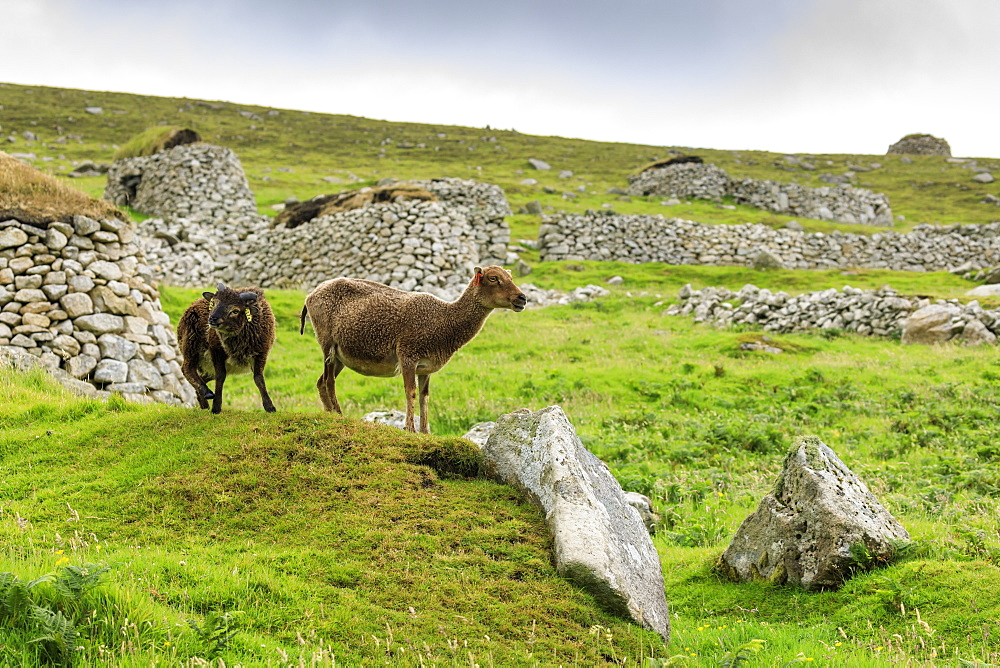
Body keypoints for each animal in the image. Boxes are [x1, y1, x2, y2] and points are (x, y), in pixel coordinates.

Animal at [177, 282, 278, 412]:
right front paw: (216, 407)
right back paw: (207, 392)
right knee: (187, 368)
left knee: (203, 377)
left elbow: (259, 379)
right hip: (191, 343)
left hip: (206, 365)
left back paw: (204, 404)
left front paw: (270, 407)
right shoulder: (216, 350)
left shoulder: (261, 353)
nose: (212, 319)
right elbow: (220, 376)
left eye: (235, 310)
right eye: (213, 303)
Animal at [298, 266, 528, 434]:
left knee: (320, 381)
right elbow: (411, 392)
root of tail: (311, 295)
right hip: (327, 343)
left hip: (340, 356)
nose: (522, 298)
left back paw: (329, 413)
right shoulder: (407, 355)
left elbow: (425, 397)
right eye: (493, 278)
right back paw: (338, 413)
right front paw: (410, 428)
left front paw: (426, 431)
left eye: (509, 276)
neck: (445, 320)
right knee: (329, 380)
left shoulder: (426, 367)